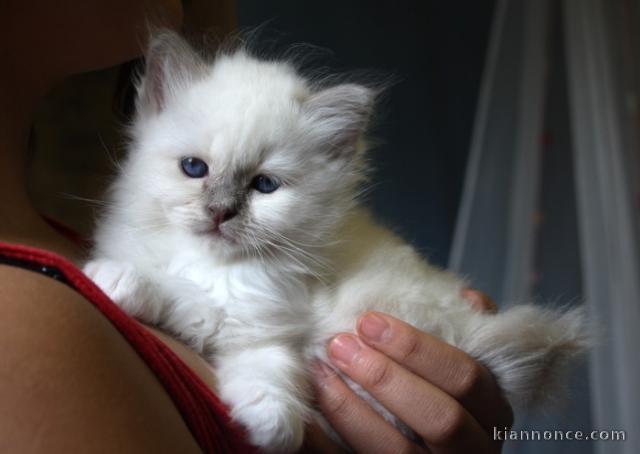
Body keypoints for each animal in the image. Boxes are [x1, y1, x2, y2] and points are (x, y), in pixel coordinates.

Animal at [85, 31, 592, 450]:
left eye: (264, 185)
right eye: (194, 168)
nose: (220, 213)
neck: (221, 269)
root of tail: (474, 332)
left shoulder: (265, 328)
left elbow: (271, 370)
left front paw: (273, 427)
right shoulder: (219, 309)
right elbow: (173, 290)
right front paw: (118, 281)